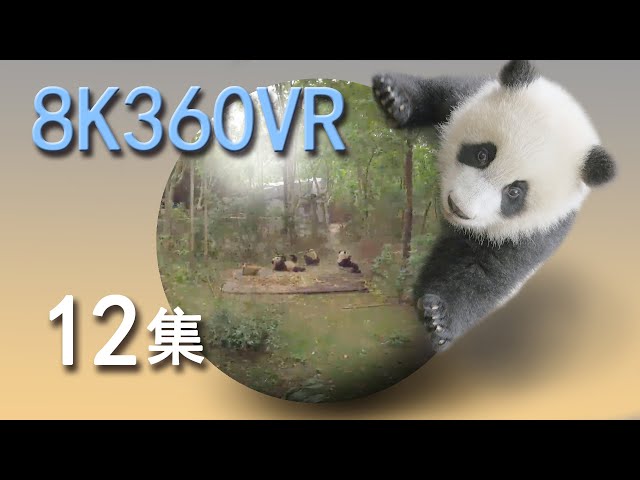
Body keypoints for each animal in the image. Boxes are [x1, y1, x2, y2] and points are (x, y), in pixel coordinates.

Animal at [372, 60, 616, 352]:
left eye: (514, 192)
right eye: (482, 154)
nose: (458, 207)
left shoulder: (536, 232)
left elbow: (482, 272)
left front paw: (439, 318)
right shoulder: (465, 95)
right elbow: (437, 93)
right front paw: (394, 98)